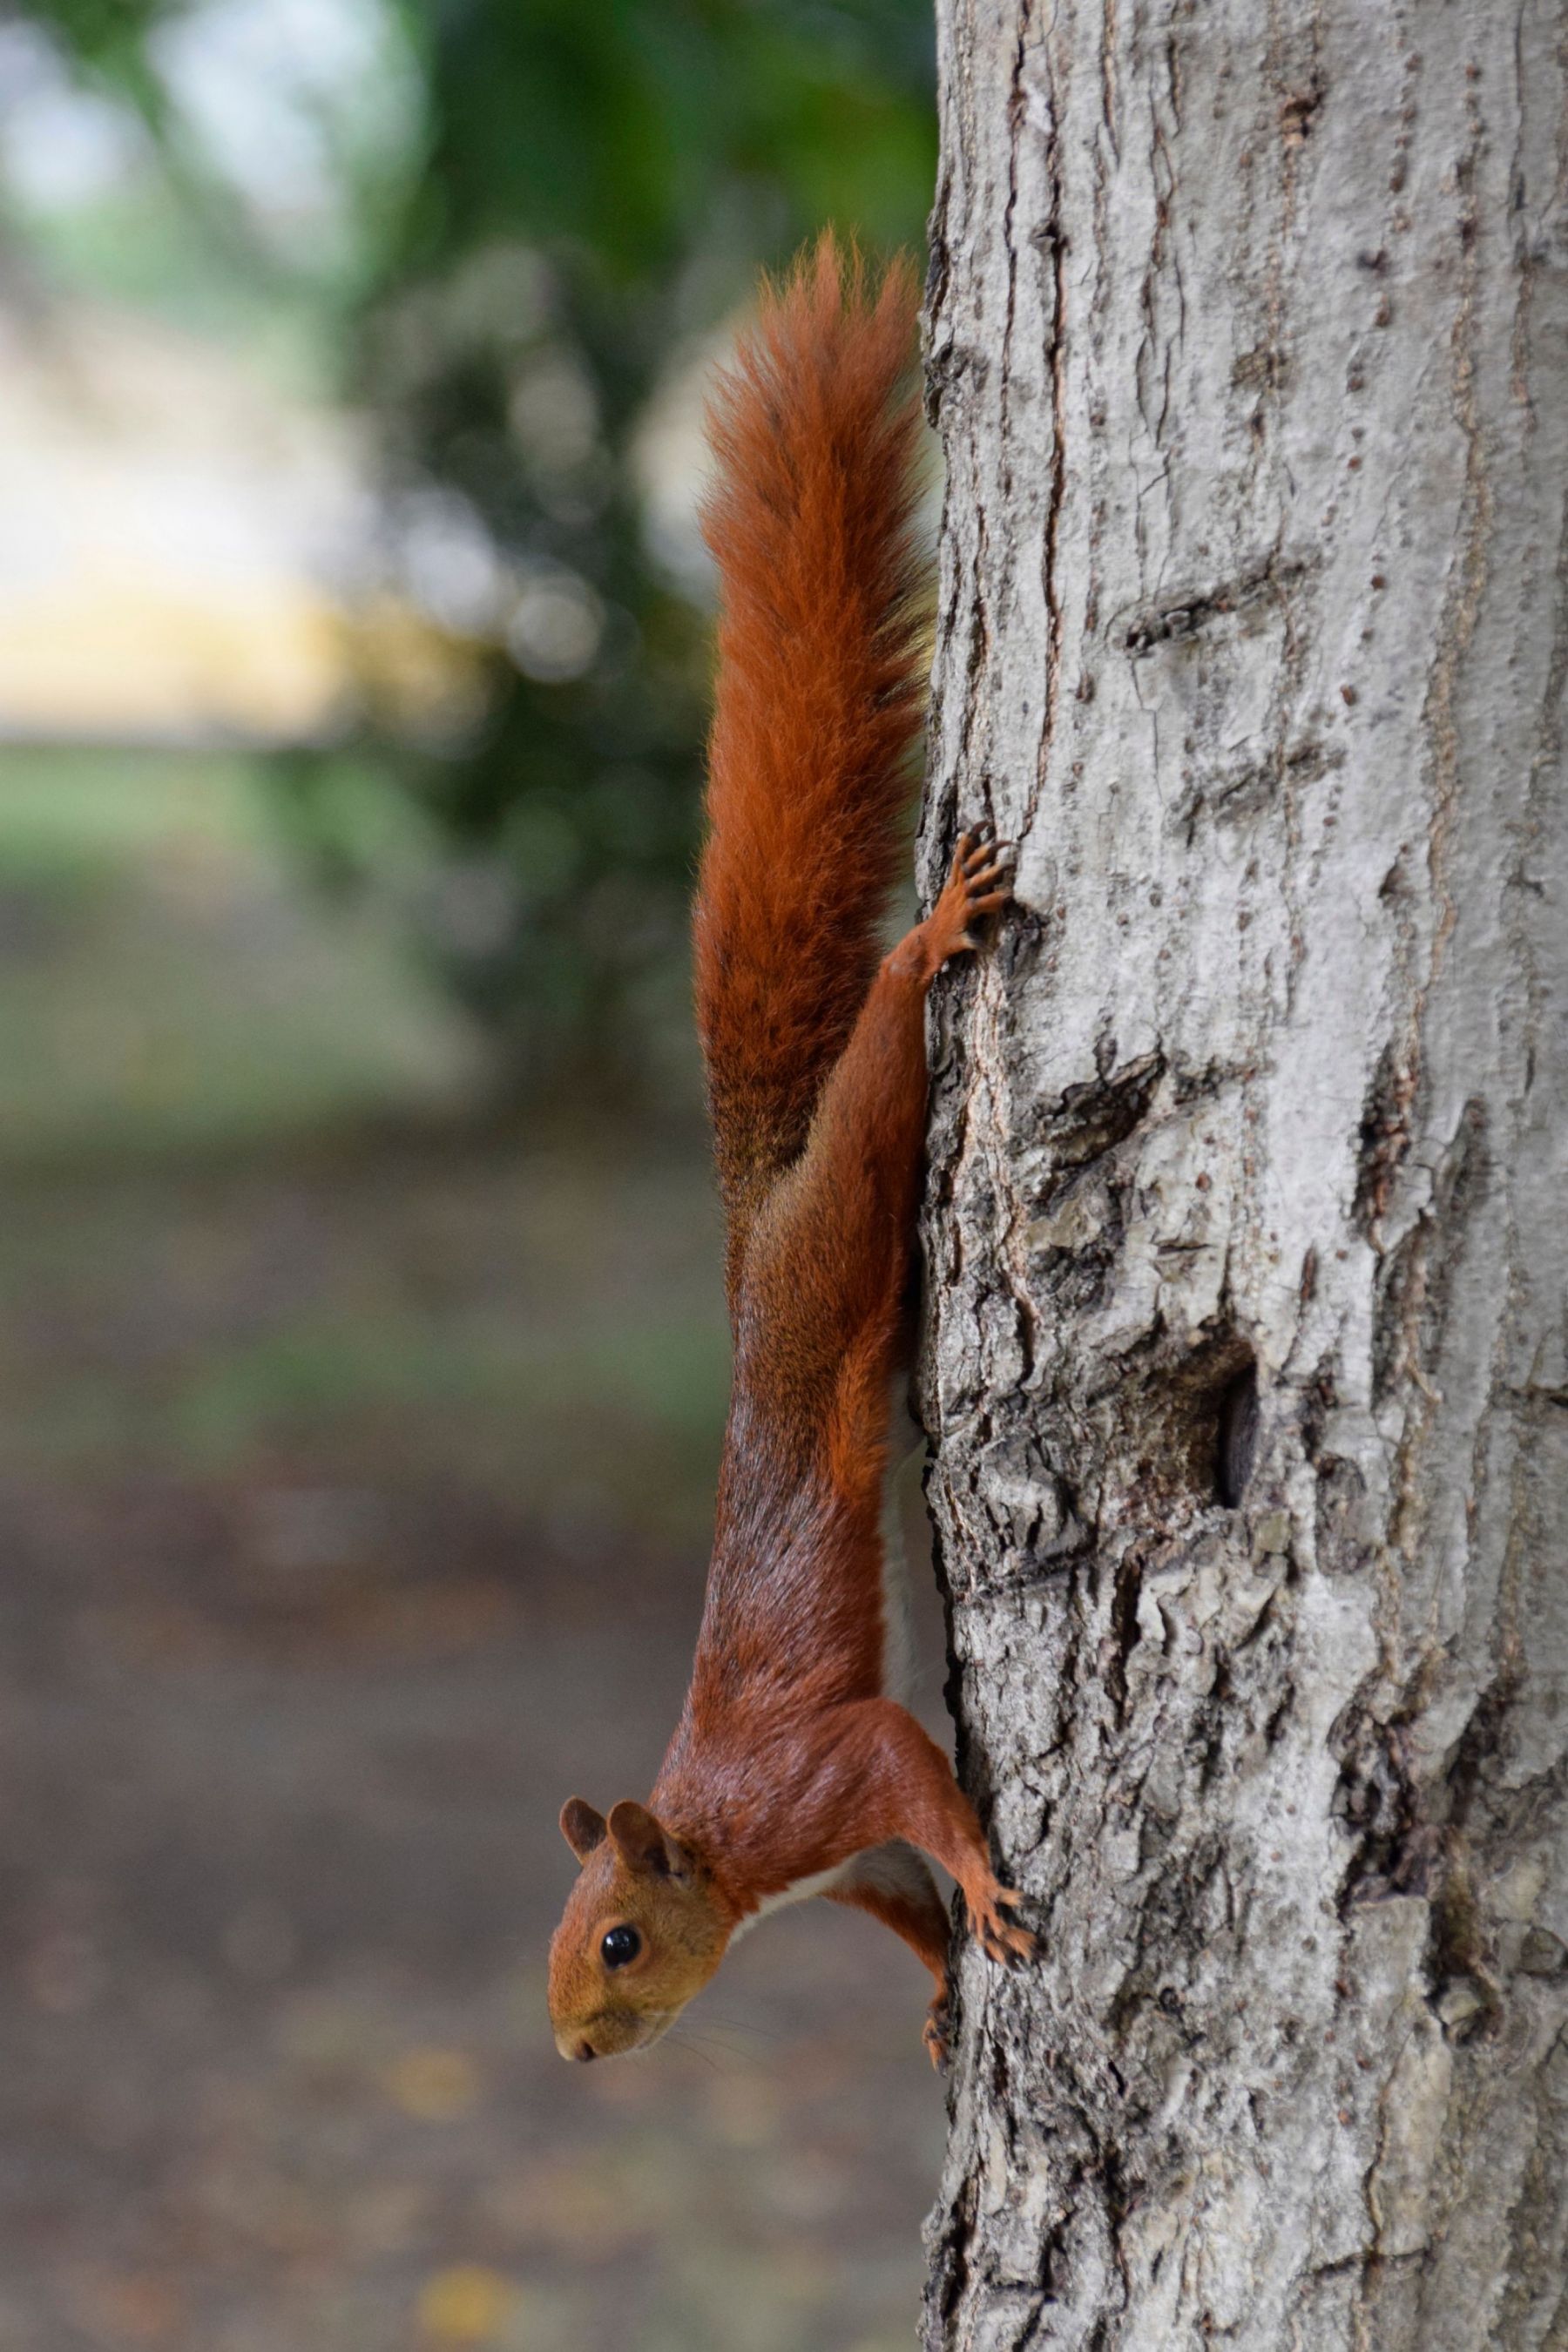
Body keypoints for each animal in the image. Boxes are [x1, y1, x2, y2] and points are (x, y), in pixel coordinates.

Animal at [545, 243, 1034, 2078]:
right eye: (562, 1942)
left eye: (619, 1939)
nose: (574, 2053)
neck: (723, 1844)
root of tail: (756, 1238)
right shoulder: (828, 1862)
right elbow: (895, 1902)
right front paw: (937, 1985)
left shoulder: (825, 1775)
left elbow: (914, 1773)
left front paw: (986, 1879)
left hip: (851, 1208)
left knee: (891, 1050)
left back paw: (933, 940)